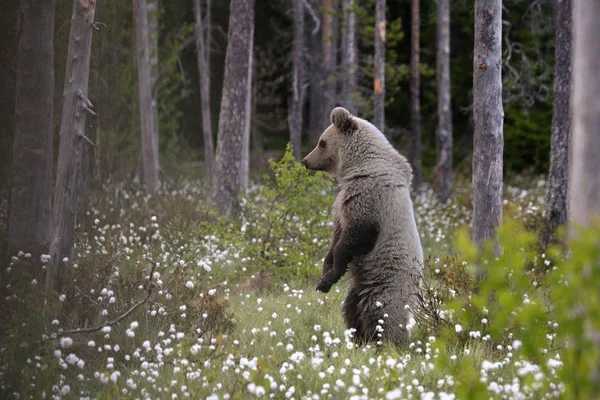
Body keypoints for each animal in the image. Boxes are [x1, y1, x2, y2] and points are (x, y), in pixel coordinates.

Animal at [302, 107, 424, 346]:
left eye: (321, 142)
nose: (305, 160)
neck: (359, 166)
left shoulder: (368, 197)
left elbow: (354, 238)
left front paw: (329, 277)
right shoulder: (343, 205)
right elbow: (336, 238)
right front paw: (325, 272)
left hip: (387, 279)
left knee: (384, 313)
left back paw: (390, 343)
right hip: (359, 286)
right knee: (352, 310)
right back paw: (359, 339)